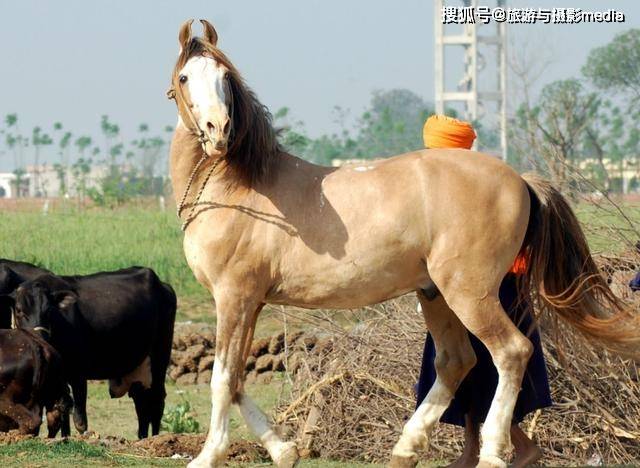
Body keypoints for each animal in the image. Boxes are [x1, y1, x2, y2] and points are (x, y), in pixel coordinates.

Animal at [1, 266, 176, 438]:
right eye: (19, 310)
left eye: (49, 310)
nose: (40, 336)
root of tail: (163, 285)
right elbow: (63, 411)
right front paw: (65, 438)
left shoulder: (79, 373)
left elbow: (79, 419)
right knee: (142, 401)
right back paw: (142, 437)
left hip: (160, 358)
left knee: (157, 400)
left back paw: (155, 437)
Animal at [166, 19, 640, 468]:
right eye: (186, 77)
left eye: (224, 77)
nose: (217, 130)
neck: (240, 187)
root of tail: (519, 179)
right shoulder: (251, 303)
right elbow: (237, 380)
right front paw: (284, 451)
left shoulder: (234, 297)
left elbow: (222, 380)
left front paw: (208, 455)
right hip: (435, 296)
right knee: (456, 362)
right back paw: (407, 448)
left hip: (470, 294)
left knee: (510, 352)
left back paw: (490, 453)